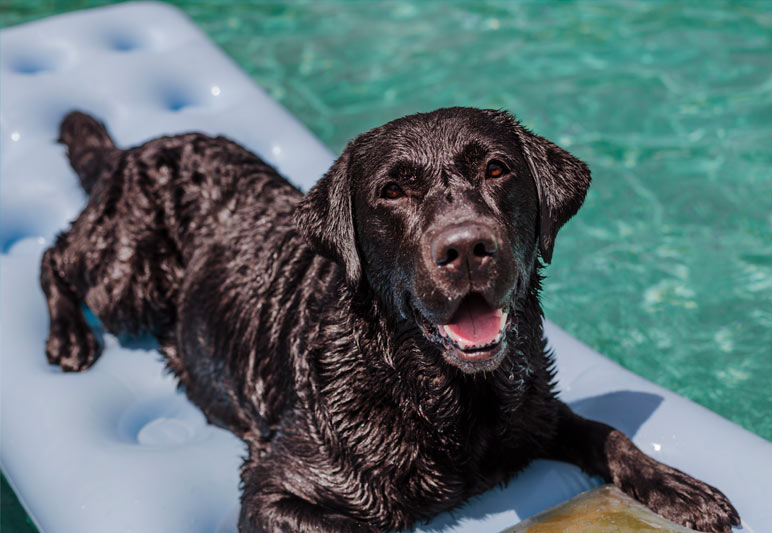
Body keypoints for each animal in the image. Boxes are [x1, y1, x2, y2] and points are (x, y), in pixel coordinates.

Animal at [42, 107, 740, 528]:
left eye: (497, 169)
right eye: (392, 191)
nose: (467, 247)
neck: (440, 394)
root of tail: (135, 150)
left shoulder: (536, 409)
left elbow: (608, 433)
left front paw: (682, 489)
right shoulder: (270, 489)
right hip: (126, 274)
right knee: (55, 253)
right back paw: (68, 338)